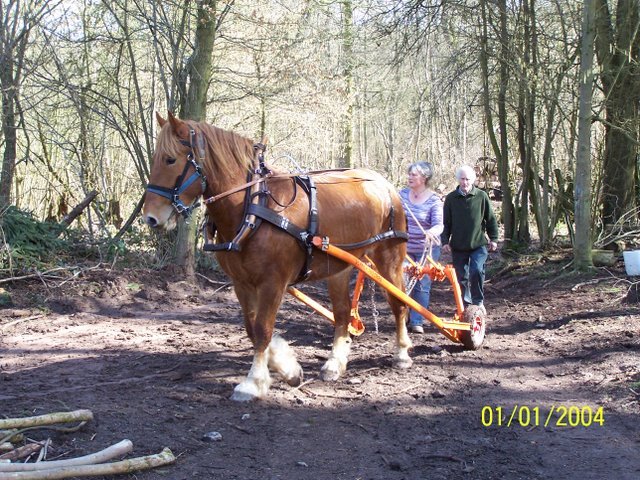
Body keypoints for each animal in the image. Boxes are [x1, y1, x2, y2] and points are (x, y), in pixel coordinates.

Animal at [143, 112, 412, 402]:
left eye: (170, 159)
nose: (150, 217)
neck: (254, 207)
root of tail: (384, 184)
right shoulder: (241, 282)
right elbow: (251, 328)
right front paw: (287, 367)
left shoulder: (273, 282)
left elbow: (263, 329)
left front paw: (253, 382)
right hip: (339, 267)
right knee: (342, 314)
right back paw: (334, 364)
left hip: (389, 258)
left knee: (399, 303)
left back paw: (402, 352)